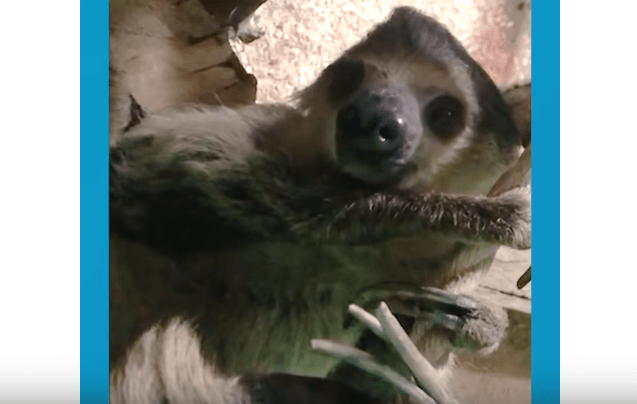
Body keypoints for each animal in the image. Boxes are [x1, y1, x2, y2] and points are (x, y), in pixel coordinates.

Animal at [108, 7, 531, 404]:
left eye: (445, 113)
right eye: (348, 78)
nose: (371, 115)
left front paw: (477, 321)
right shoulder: (243, 140)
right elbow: (178, 158)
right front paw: (493, 216)